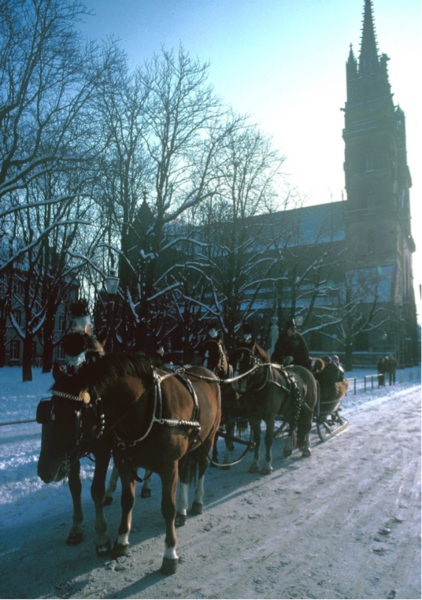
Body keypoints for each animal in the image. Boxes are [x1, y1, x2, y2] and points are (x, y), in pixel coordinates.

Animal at [37, 354, 219, 576]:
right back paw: (182, 511)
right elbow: (125, 500)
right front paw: (120, 541)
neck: (148, 408)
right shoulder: (123, 461)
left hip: (208, 439)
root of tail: (208, 372)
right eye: (46, 413)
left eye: (73, 417)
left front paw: (169, 555)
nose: (44, 471)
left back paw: (196, 503)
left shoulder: (166, 466)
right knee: (185, 474)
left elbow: (167, 507)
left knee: (201, 468)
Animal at [231, 338, 316, 474]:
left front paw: (267, 466)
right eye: (234, 358)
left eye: (248, 360)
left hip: (309, 408)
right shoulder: (253, 417)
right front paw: (255, 464)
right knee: (292, 425)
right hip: (289, 410)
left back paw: (307, 449)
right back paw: (287, 448)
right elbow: (258, 440)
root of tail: (307, 372)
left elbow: (268, 440)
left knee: (308, 425)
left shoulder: (270, 417)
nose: (236, 384)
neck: (263, 384)